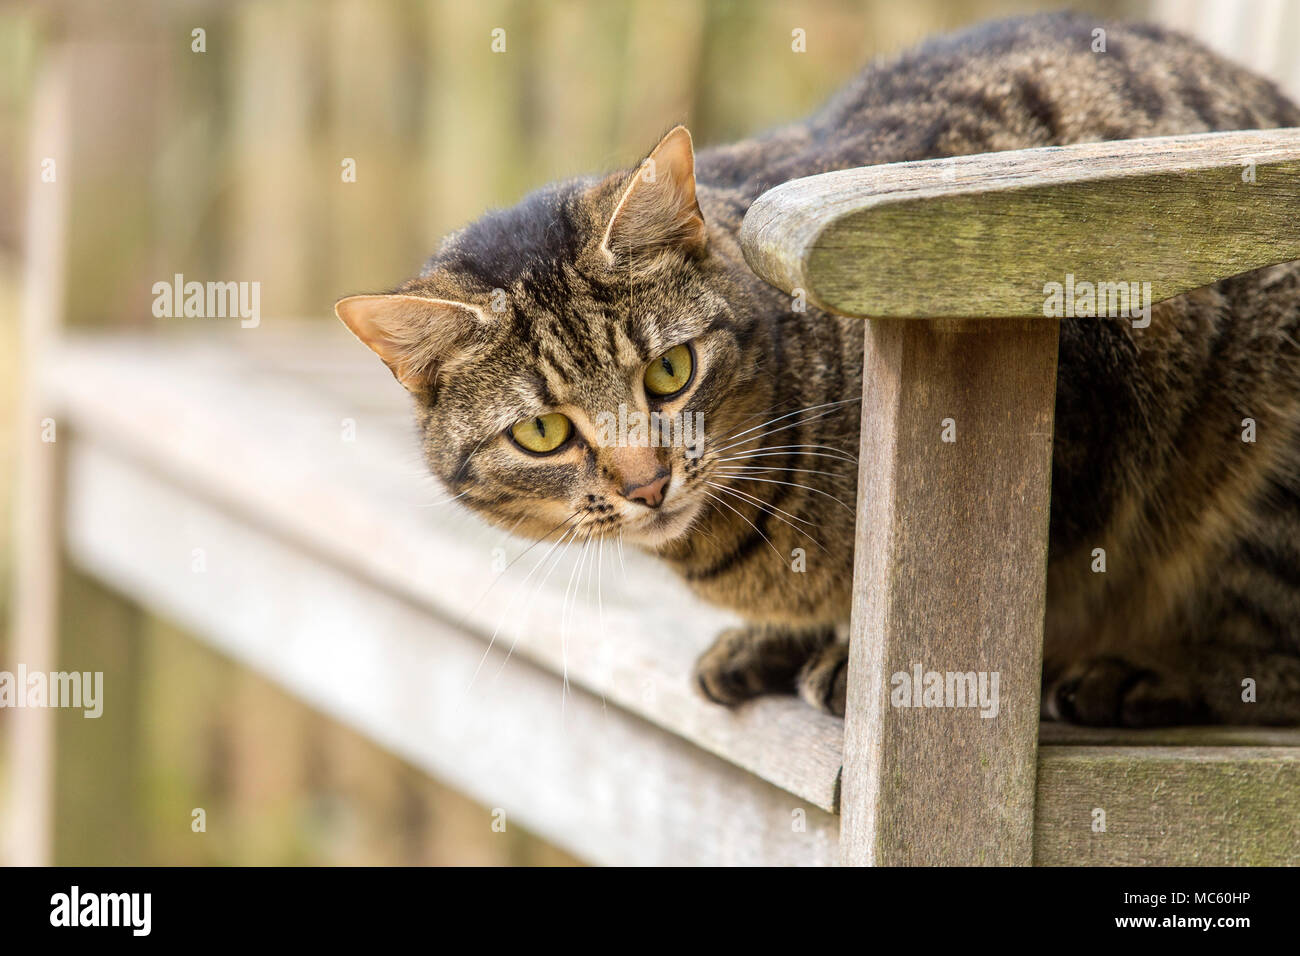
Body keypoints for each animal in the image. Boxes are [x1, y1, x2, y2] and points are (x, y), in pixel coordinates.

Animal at [340, 13, 1300, 723]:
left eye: (670, 372)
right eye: (543, 432)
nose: (647, 483)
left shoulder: (1082, 430)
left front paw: (849, 654)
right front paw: (780, 643)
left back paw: (1144, 674)